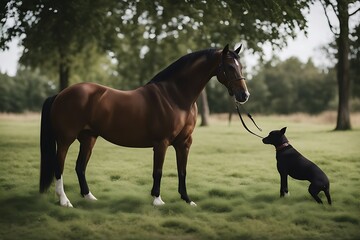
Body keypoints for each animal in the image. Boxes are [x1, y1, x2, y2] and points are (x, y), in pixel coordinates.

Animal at [38, 44, 248, 207]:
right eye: (230, 66)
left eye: (241, 66)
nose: (244, 95)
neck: (175, 97)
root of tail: (60, 94)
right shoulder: (161, 143)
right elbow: (158, 171)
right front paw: (157, 200)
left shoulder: (184, 143)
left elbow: (182, 171)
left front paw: (187, 200)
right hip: (65, 139)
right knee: (59, 167)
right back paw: (64, 201)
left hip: (88, 138)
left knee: (80, 167)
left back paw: (89, 197)